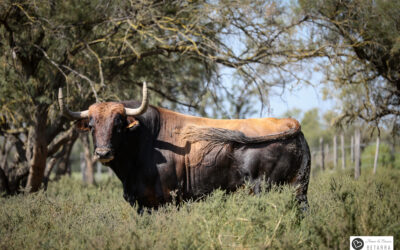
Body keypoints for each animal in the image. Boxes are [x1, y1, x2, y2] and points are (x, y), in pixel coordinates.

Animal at [57, 83, 310, 211]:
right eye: (91, 126)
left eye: (118, 125)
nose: (103, 152)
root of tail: (289, 122)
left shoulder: (166, 202)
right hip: (298, 188)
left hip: (265, 190)